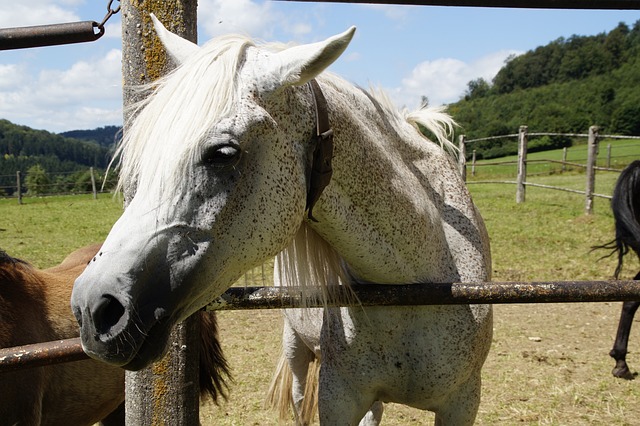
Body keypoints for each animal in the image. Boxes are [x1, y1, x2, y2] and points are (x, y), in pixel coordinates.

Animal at [70, 15, 492, 424]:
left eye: (223, 153)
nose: (93, 310)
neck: (411, 286)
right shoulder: (339, 397)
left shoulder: (462, 403)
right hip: (297, 351)